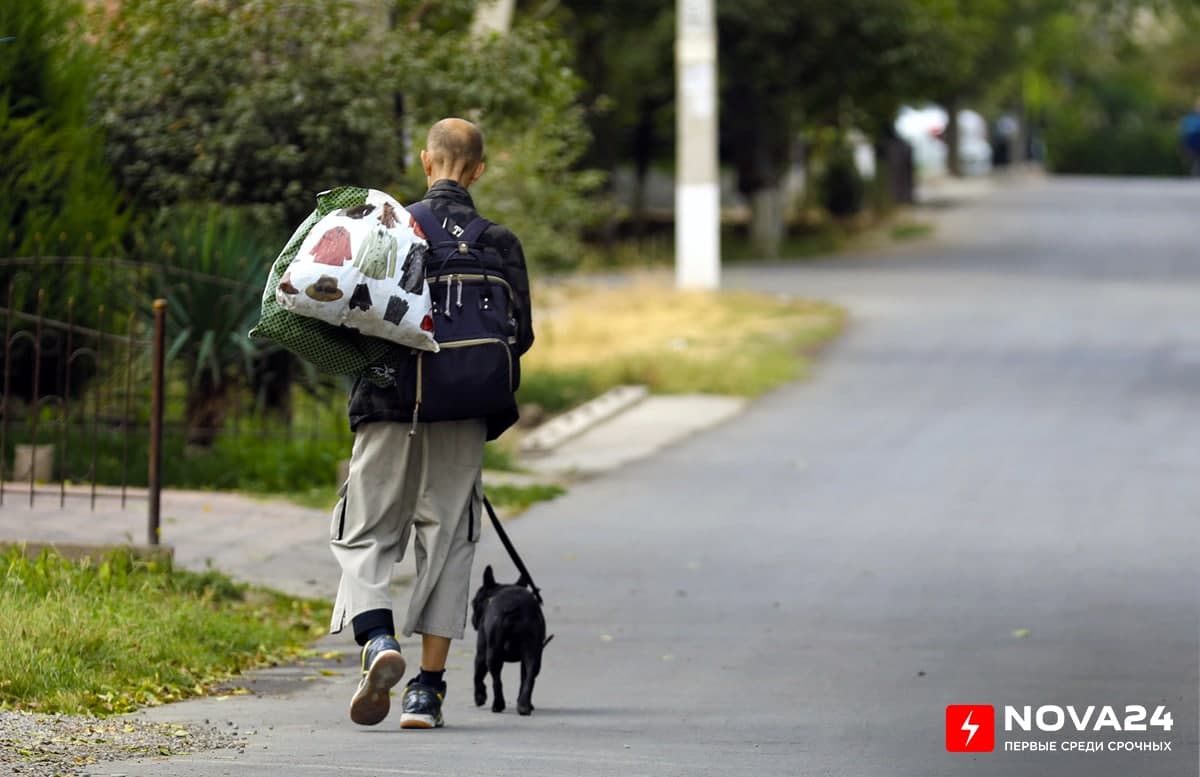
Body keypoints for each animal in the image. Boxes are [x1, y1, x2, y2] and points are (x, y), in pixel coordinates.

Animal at [470, 563, 549, 714]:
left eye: (473, 603)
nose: (473, 619)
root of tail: (516, 607)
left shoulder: (481, 653)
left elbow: (477, 675)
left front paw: (479, 697)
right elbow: (524, 678)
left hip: (492, 654)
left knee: (496, 680)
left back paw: (498, 705)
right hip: (533, 652)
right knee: (529, 677)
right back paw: (524, 705)